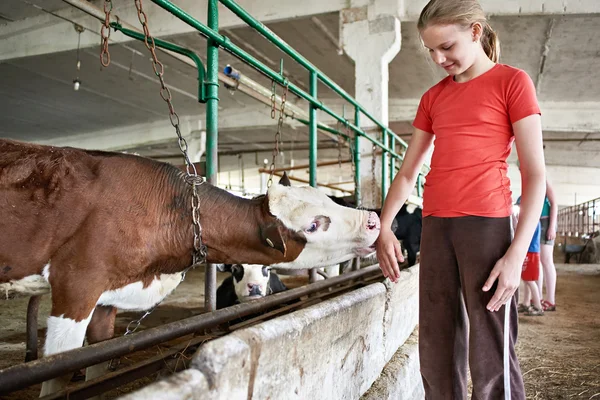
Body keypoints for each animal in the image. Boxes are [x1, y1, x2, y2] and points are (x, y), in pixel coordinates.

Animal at [0, 139, 380, 396]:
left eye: (327, 198)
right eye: (314, 224)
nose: (374, 220)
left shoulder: (108, 297)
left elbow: (97, 359)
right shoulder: (77, 283)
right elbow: (59, 369)